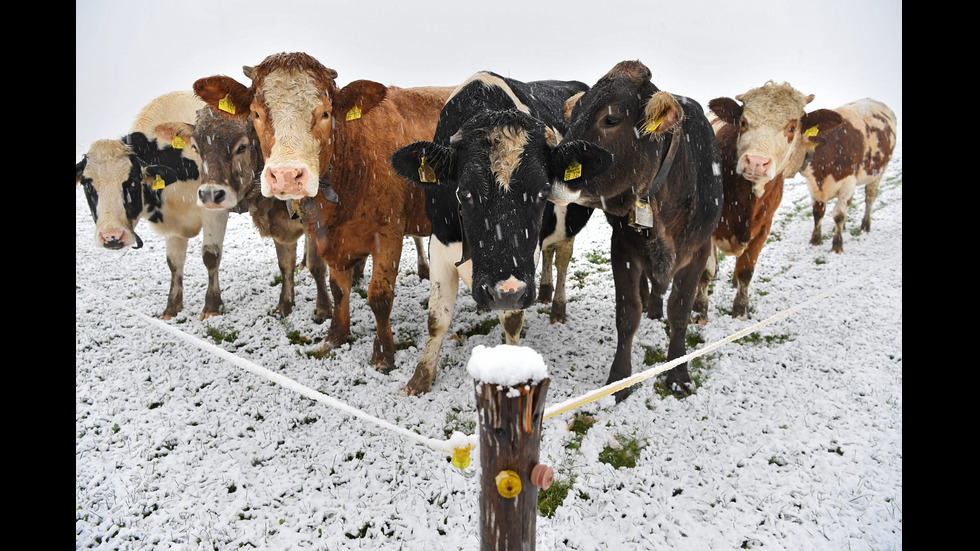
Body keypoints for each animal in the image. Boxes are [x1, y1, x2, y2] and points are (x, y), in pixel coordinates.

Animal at [201, 52, 454, 370]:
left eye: (324, 113)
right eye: (256, 114)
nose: (286, 175)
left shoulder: (389, 233)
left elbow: (380, 296)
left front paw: (383, 354)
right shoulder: (328, 237)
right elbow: (337, 288)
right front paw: (335, 337)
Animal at [392, 71, 612, 394]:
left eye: (543, 191)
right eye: (464, 192)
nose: (504, 291)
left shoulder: (524, 263)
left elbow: (511, 320)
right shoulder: (439, 244)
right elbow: (437, 317)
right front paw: (421, 376)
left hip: (570, 224)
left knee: (562, 257)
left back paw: (557, 306)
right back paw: (542, 292)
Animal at [552, 60, 728, 398]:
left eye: (611, 118)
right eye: (574, 116)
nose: (548, 168)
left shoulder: (698, 251)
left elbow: (680, 312)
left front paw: (678, 373)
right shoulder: (621, 246)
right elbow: (627, 314)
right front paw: (620, 378)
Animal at [692, 83, 848, 322]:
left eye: (792, 127)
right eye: (743, 122)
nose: (756, 162)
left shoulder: (764, 227)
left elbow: (746, 272)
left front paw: (741, 309)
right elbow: (704, 272)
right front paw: (699, 309)